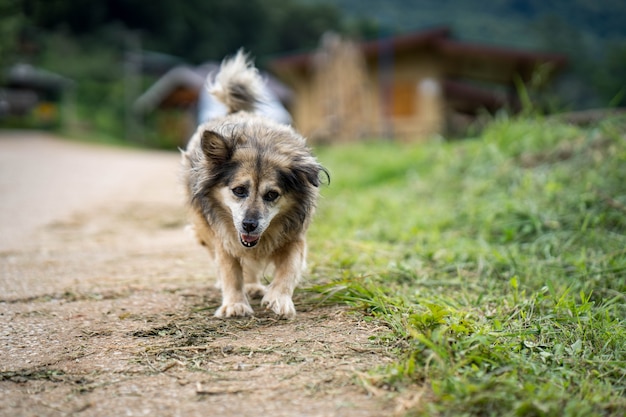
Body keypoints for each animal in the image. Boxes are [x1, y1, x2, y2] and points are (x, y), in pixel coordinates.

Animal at [180, 51, 326, 318]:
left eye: (272, 195)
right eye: (239, 190)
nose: (249, 225)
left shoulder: (294, 237)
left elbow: (289, 268)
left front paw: (278, 298)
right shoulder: (224, 237)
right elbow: (230, 269)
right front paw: (235, 304)